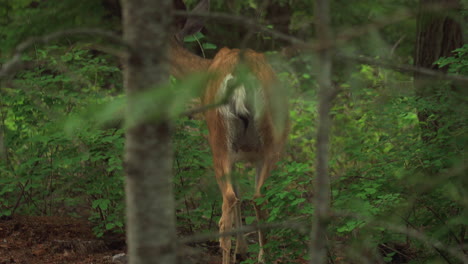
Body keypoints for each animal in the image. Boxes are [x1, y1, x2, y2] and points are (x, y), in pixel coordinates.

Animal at [172, 1, 288, 262]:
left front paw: (241, 249)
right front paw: (243, 248)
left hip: (220, 139)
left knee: (227, 205)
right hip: (269, 142)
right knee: (258, 198)